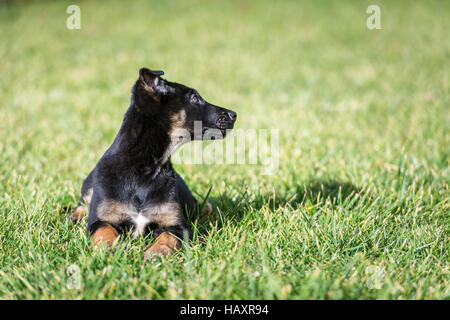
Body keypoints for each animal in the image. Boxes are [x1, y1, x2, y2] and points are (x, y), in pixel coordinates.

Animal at [70, 67, 236, 258]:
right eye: (194, 98)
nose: (234, 114)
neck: (145, 168)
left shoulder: (177, 225)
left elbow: (168, 237)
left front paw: (156, 253)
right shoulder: (100, 219)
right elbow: (104, 231)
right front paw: (108, 248)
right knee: (82, 203)